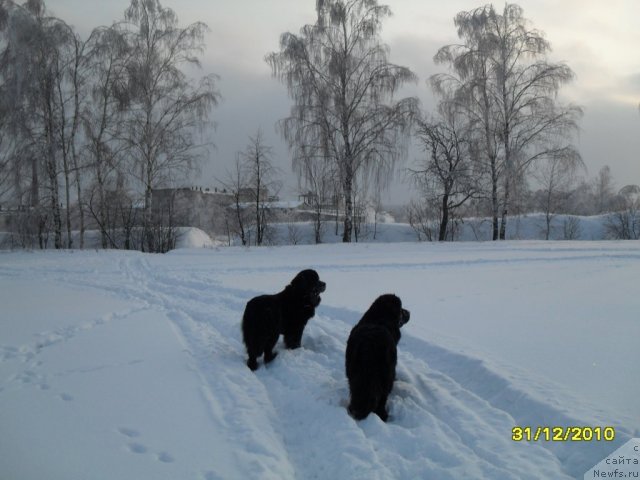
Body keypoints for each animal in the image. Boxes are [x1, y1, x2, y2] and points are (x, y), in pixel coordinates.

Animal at [344, 294, 410, 422]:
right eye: (401, 311)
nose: (409, 312)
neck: (379, 320)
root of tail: (370, 344)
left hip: (353, 370)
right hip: (386, 376)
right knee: (382, 399)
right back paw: (382, 416)